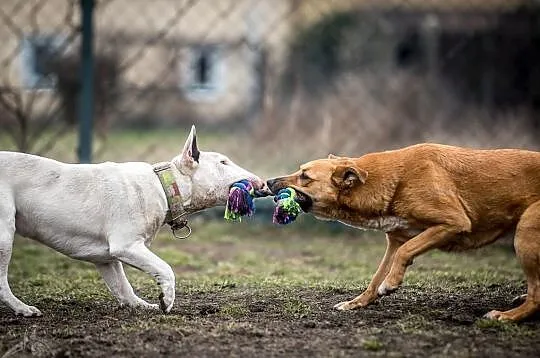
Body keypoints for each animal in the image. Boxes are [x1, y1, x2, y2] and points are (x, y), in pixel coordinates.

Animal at [0, 126, 268, 316]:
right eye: (223, 162)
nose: (262, 182)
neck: (164, 186)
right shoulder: (127, 246)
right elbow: (165, 269)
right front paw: (166, 301)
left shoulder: (106, 258)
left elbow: (122, 287)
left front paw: (142, 305)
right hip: (4, 237)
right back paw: (22, 309)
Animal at [268, 143, 540, 322]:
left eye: (305, 176)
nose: (269, 182)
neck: (396, 180)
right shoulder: (396, 239)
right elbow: (376, 276)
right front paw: (357, 303)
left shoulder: (453, 222)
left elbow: (404, 254)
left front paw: (390, 285)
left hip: (525, 233)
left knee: (535, 294)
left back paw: (507, 315)